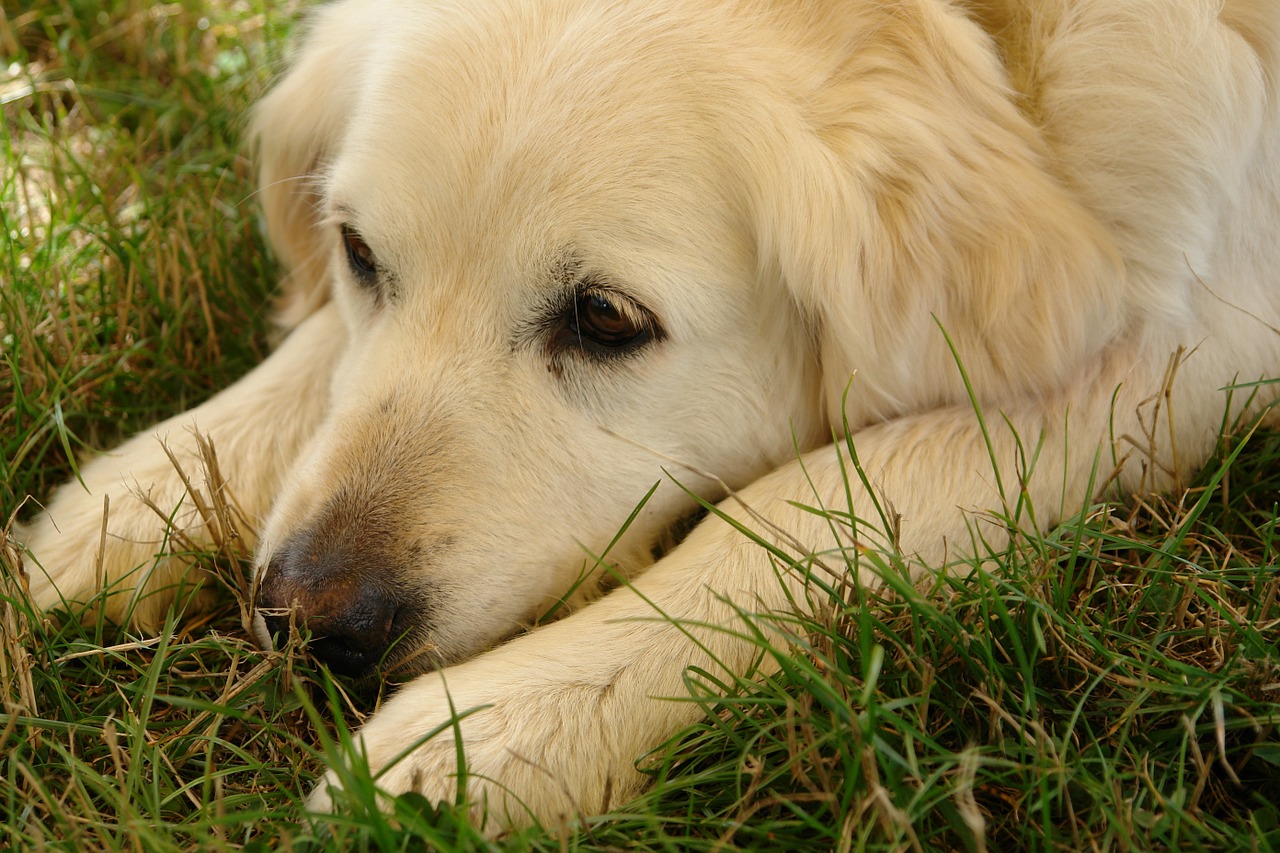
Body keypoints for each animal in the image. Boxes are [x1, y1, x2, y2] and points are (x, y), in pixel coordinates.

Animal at [20, 0, 1280, 829]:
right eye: (359, 253)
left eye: (604, 319)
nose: (304, 621)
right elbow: (323, 359)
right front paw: (133, 502)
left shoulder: (1170, 352)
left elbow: (814, 508)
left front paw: (494, 734)